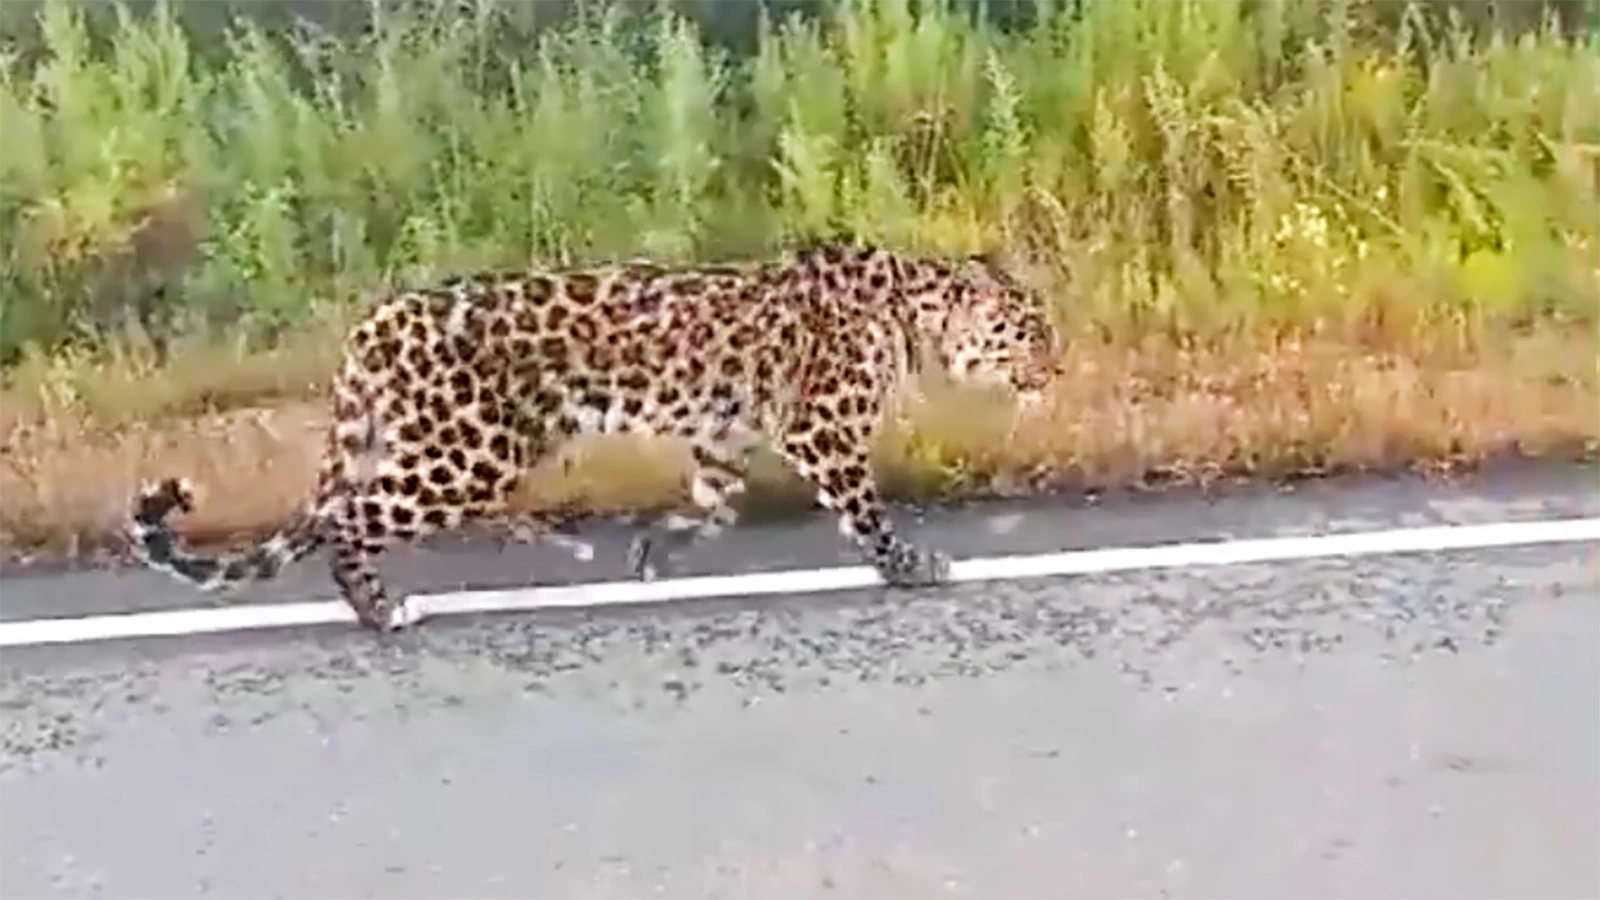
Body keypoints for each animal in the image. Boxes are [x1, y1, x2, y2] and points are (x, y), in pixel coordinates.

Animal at [124, 240, 1062, 630]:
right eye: (1028, 332)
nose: (1057, 365)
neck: (914, 314)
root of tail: (377, 322)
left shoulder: (724, 436)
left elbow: (715, 503)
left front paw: (653, 550)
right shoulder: (823, 429)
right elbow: (867, 515)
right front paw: (914, 567)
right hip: (467, 453)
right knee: (344, 523)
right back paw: (383, 611)